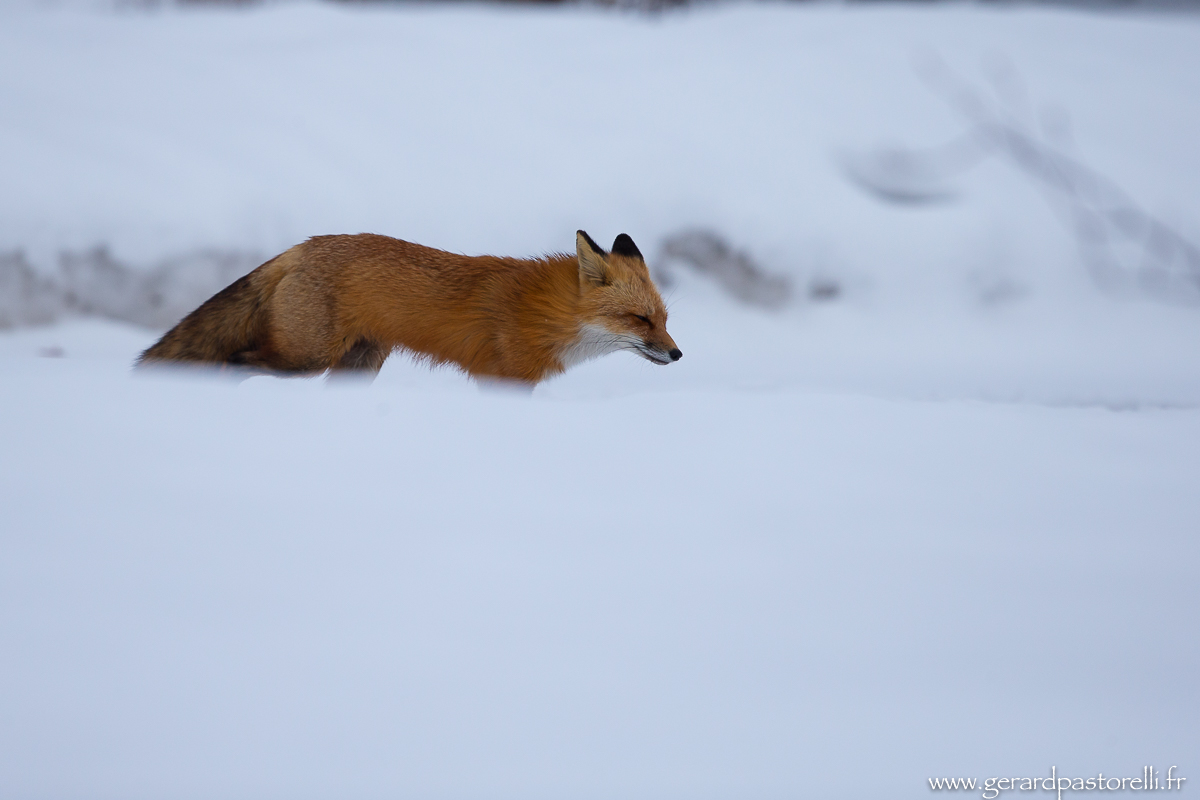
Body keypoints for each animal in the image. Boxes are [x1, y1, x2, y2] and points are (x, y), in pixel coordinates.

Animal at [136, 230, 681, 384]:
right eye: (640, 319)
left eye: (664, 319)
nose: (677, 354)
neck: (548, 314)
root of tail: (302, 246)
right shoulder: (505, 379)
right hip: (303, 359)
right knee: (232, 361)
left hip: (357, 366)